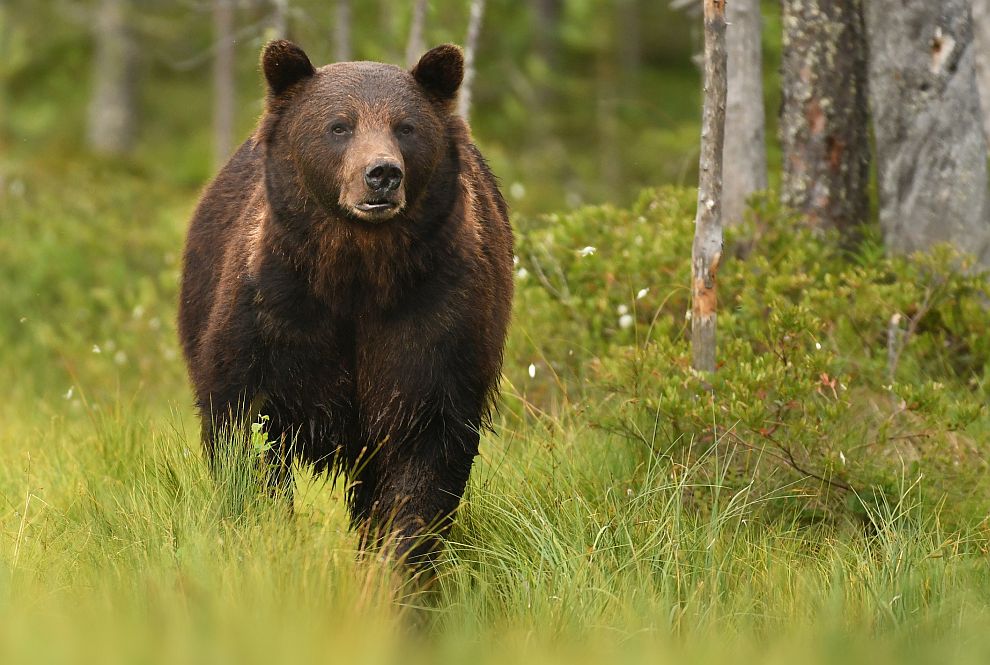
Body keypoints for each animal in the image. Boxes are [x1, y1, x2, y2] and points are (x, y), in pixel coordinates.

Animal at [178, 40, 516, 564]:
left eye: (405, 126)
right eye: (339, 126)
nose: (382, 174)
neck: (357, 273)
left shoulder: (436, 315)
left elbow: (427, 448)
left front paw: (399, 562)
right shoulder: (275, 312)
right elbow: (244, 429)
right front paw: (266, 532)